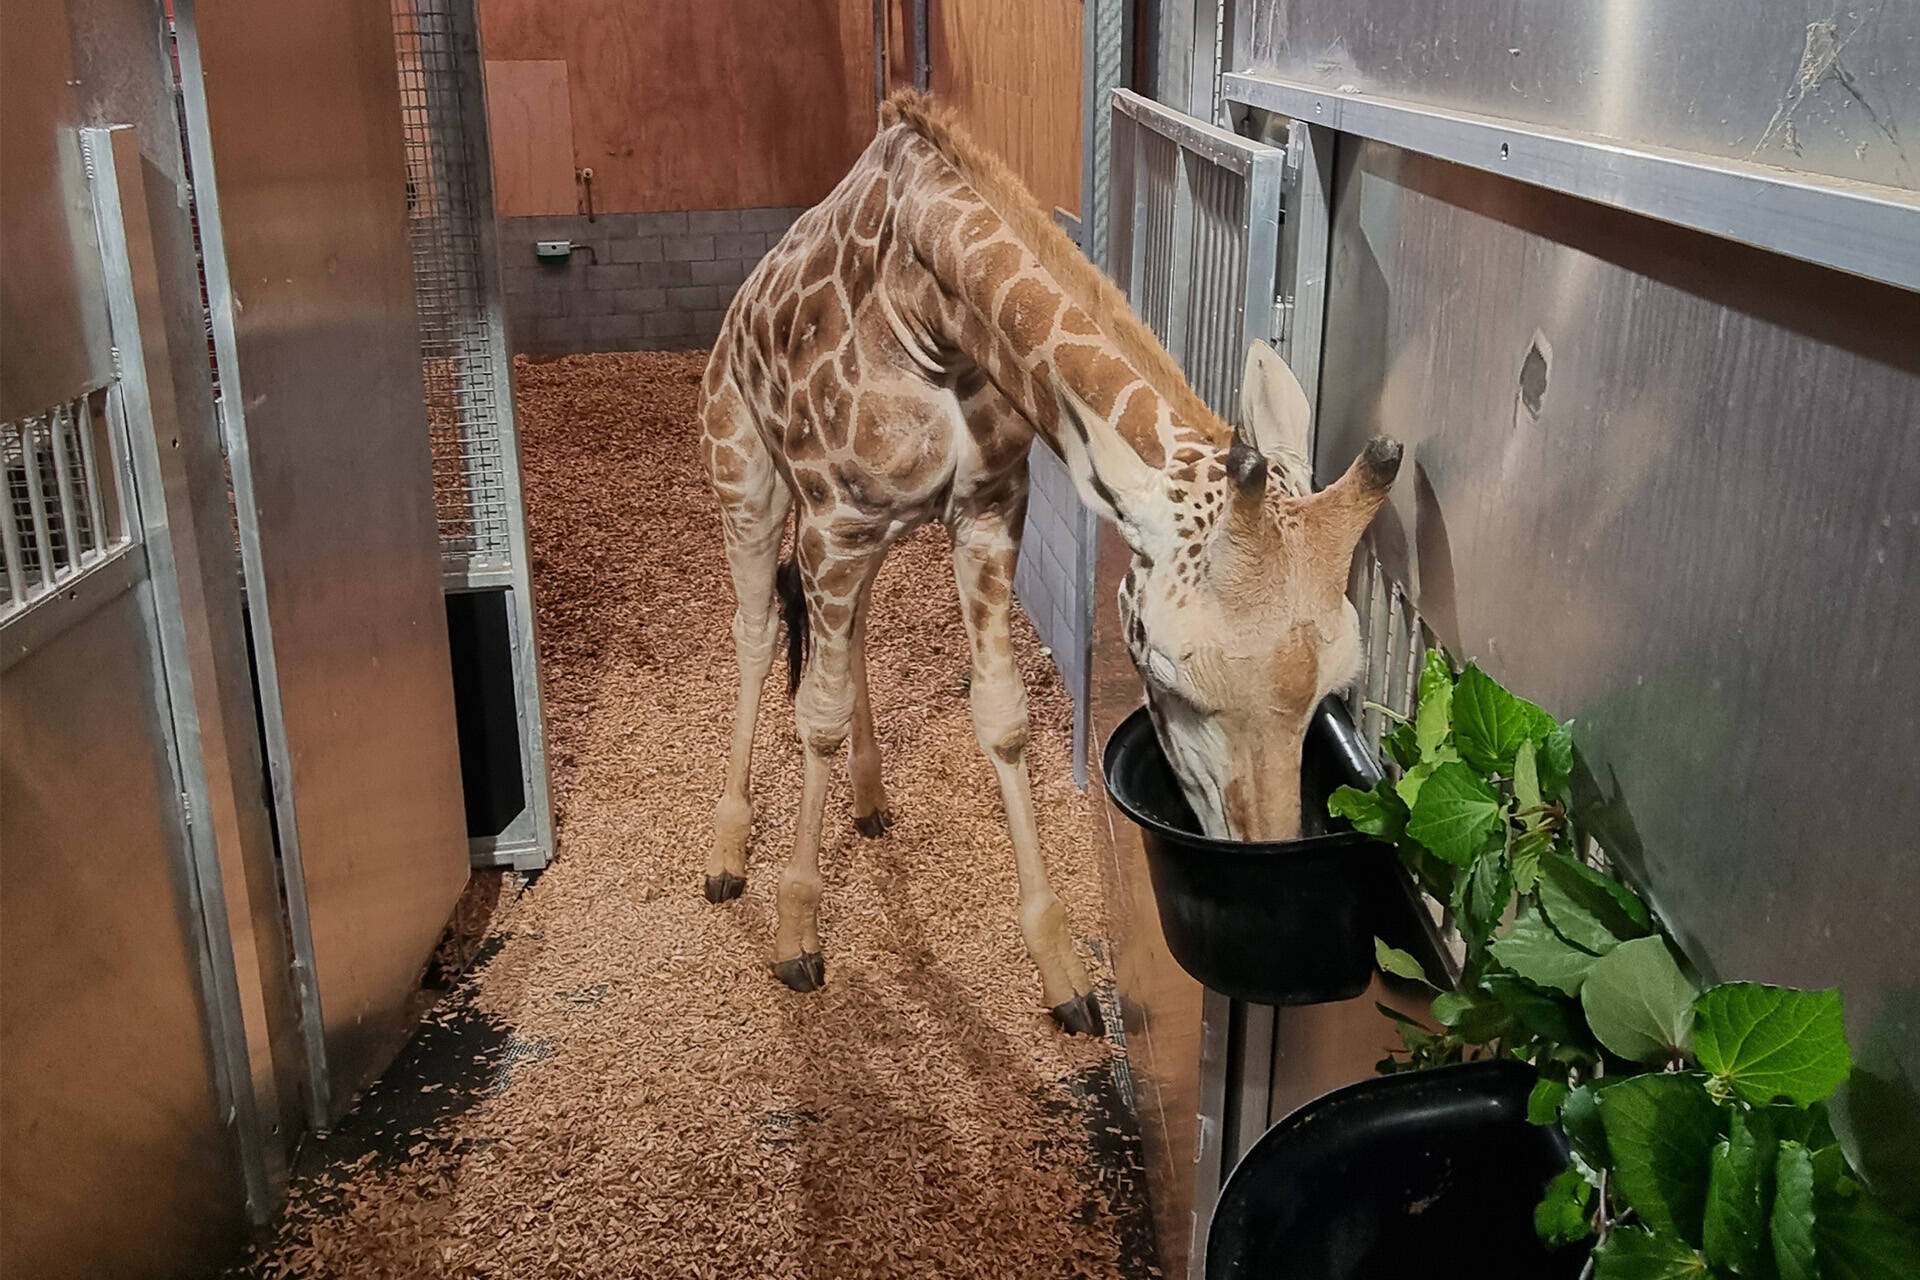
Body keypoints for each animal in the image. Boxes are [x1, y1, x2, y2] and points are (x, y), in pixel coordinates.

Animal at [698, 91, 1402, 1034]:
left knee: (850, 640)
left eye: (1335, 683)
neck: (928, 315)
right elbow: (814, 716)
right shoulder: (837, 518)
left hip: (868, 533)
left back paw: (872, 801)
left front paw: (1062, 972)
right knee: (759, 631)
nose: (1259, 856)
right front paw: (798, 932)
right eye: (1166, 673)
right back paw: (728, 853)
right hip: (749, 477)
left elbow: (999, 715)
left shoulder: (986, 509)